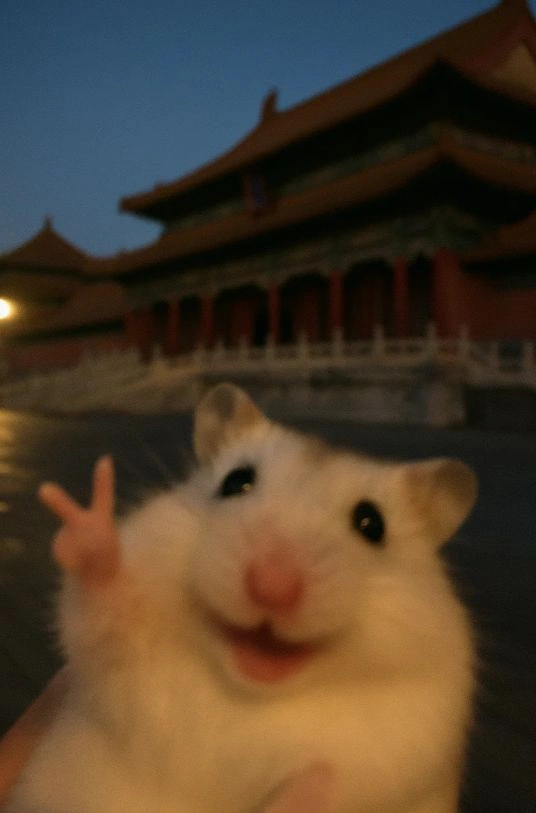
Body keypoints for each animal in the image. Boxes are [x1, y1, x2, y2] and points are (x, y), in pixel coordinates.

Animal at [6, 383, 477, 813]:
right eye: (236, 482)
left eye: (372, 524)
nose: (272, 587)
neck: (250, 693)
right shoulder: (122, 662)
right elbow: (105, 609)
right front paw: (93, 532)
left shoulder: (406, 747)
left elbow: (330, 780)